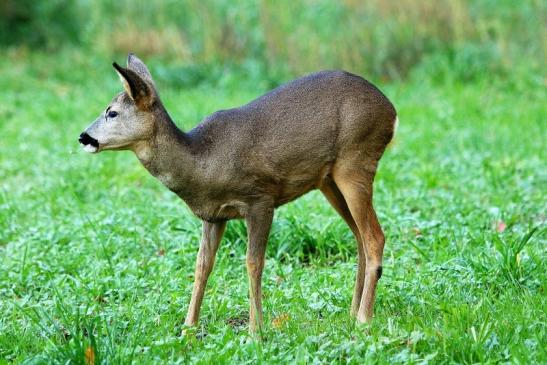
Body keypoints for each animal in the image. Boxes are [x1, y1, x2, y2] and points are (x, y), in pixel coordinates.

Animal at [78, 54, 398, 332]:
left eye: (112, 112)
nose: (83, 137)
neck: (201, 161)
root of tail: (392, 112)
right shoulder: (213, 216)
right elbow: (202, 266)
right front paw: (187, 328)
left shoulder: (261, 199)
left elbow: (253, 263)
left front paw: (256, 331)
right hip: (329, 180)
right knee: (359, 238)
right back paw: (352, 313)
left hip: (356, 160)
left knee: (374, 237)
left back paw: (363, 319)